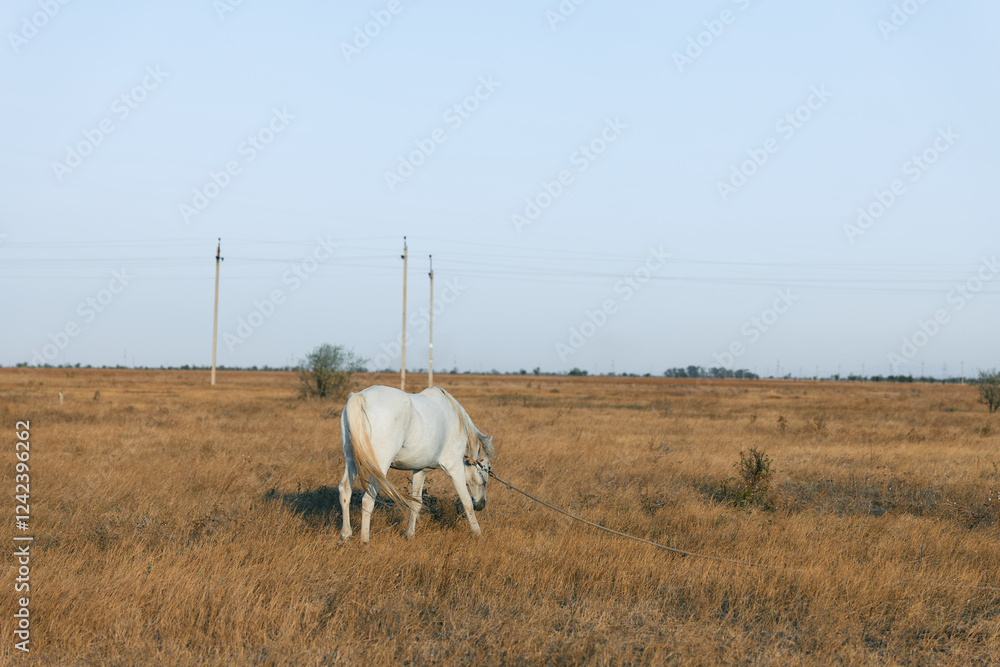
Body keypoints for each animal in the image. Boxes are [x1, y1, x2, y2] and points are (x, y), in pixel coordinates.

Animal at [338, 385, 494, 544]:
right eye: (487, 468)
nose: (481, 505)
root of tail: (360, 397)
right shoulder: (455, 468)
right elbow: (466, 501)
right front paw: (478, 534)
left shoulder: (420, 470)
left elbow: (417, 503)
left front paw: (409, 534)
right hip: (379, 468)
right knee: (368, 499)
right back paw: (364, 541)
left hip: (351, 460)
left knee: (345, 490)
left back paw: (346, 535)